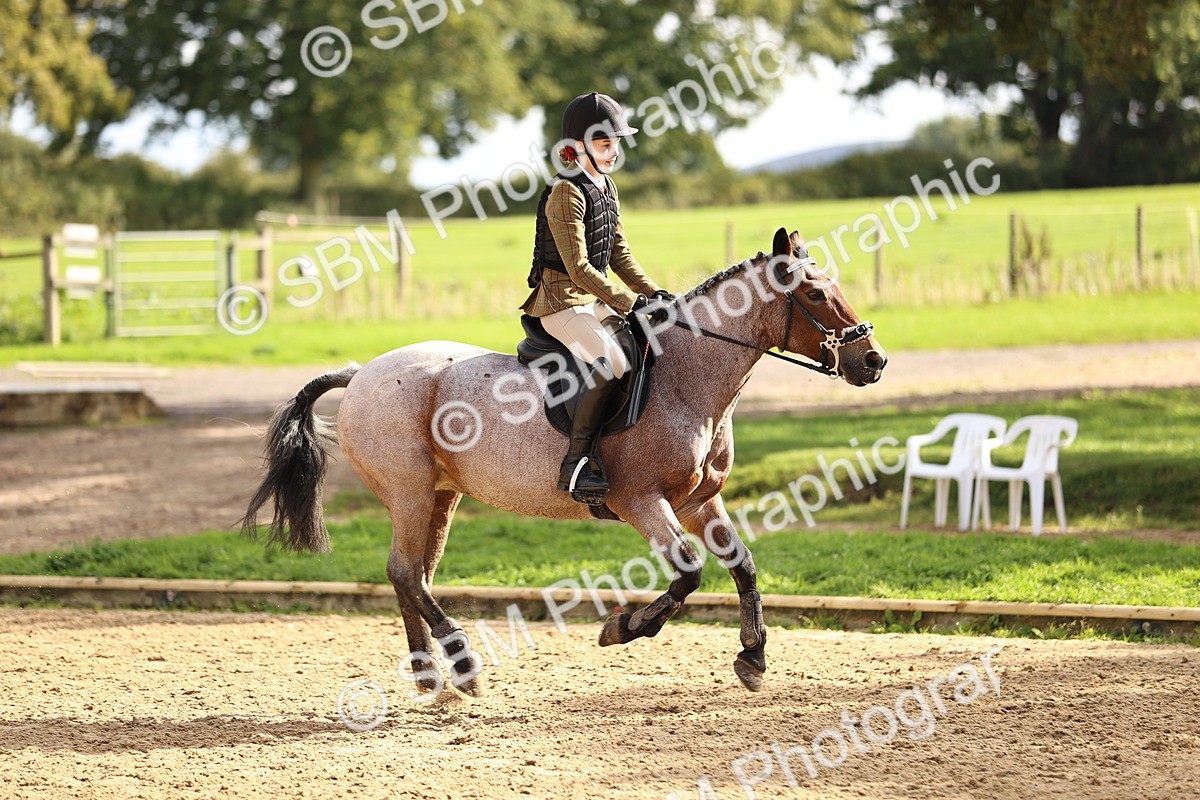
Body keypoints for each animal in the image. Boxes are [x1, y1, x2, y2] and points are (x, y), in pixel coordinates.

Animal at [240, 227, 887, 697]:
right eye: (813, 294)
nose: (874, 360)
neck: (687, 377)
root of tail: (361, 373)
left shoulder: (698, 501)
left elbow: (744, 565)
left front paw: (752, 657)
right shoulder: (640, 501)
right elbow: (689, 573)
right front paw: (623, 628)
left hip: (440, 496)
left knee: (411, 574)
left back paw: (429, 675)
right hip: (410, 492)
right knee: (406, 572)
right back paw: (463, 664)